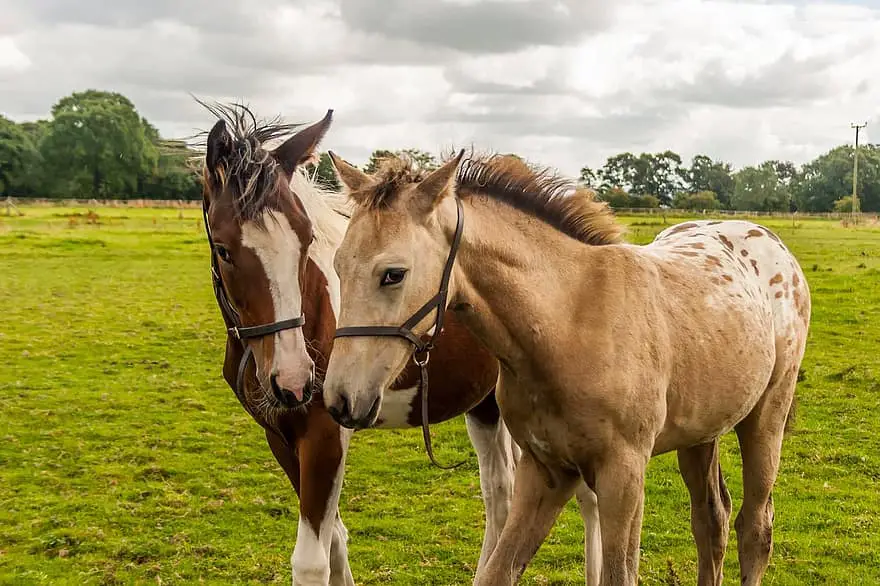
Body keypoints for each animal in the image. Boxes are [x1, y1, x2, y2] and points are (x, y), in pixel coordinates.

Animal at [196, 105, 520, 584]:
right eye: (223, 249)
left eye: (307, 238)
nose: (294, 380)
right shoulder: (279, 435)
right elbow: (335, 540)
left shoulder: (325, 433)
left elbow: (311, 560)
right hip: (484, 404)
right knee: (500, 490)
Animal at [322, 152, 812, 584]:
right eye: (338, 265)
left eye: (393, 274)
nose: (340, 399)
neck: (568, 323)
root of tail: (770, 242)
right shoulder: (546, 471)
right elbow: (499, 572)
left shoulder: (623, 475)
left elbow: (619, 574)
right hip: (701, 433)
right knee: (711, 520)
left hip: (766, 417)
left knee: (756, 527)